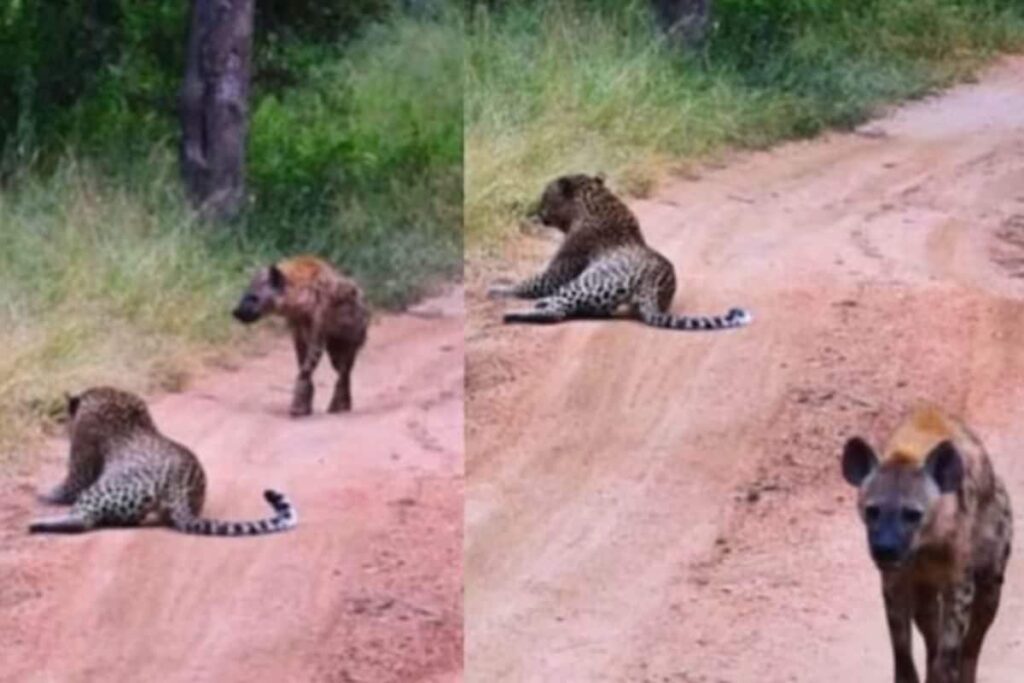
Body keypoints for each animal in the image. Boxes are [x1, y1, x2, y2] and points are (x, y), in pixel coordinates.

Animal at [30, 387, 297, 536]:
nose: (64, 427)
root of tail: (183, 491)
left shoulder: (81, 470)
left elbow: (66, 487)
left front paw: (41, 494)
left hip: (104, 490)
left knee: (83, 520)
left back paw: (38, 523)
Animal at [488, 173, 752, 331]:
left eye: (545, 196)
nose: (536, 211)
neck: (597, 203)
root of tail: (658, 286)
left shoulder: (554, 276)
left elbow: (525, 283)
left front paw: (495, 287)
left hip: (585, 283)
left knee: (556, 312)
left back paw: (514, 314)